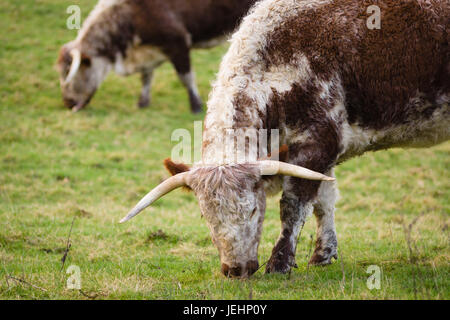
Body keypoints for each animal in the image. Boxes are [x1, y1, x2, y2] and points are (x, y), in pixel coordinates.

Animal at [56, 0, 258, 112]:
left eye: (69, 73)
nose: (67, 102)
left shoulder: (178, 42)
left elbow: (186, 77)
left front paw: (196, 105)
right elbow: (146, 77)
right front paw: (142, 102)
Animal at [120, 0, 450, 278]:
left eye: (254, 209)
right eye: (205, 215)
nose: (236, 270)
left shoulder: (316, 144)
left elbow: (295, 205)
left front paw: (279, 263)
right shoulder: (319, 155)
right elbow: (324, 201)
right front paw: (323, 254)